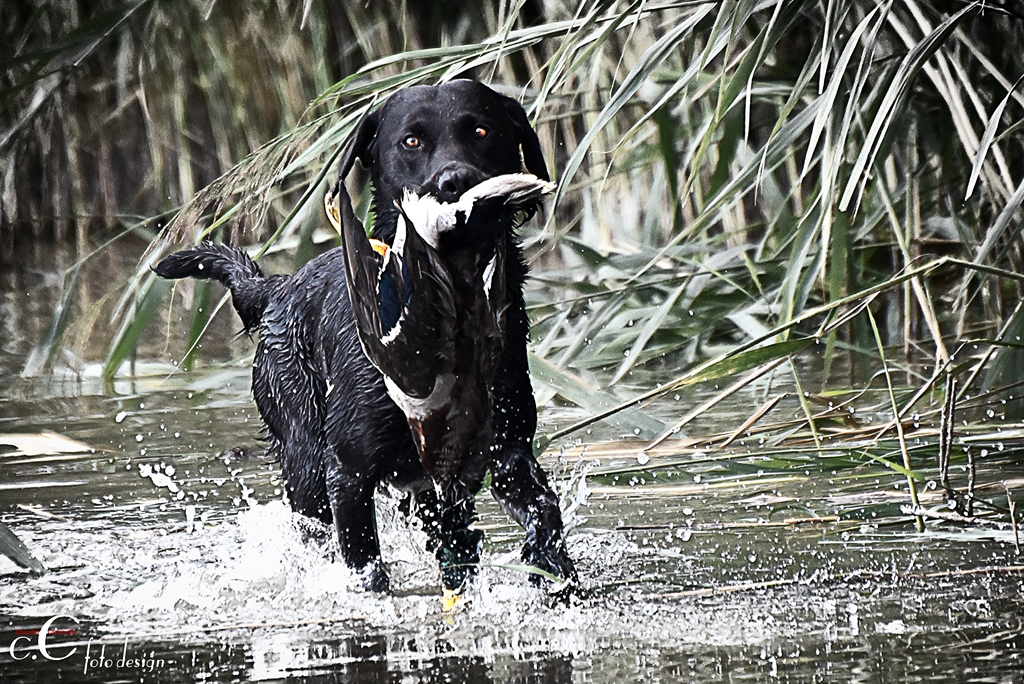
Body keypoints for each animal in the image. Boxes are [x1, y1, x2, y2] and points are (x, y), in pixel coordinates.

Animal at [157, 78, 577, 593]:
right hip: (304, 457)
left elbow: (541, 509)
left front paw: (553, 571)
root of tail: (277, 288)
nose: (454, 183)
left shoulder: (505, 450)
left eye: (481, 130)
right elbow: (365, 564)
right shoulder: (348, 471)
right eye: (411, 141)